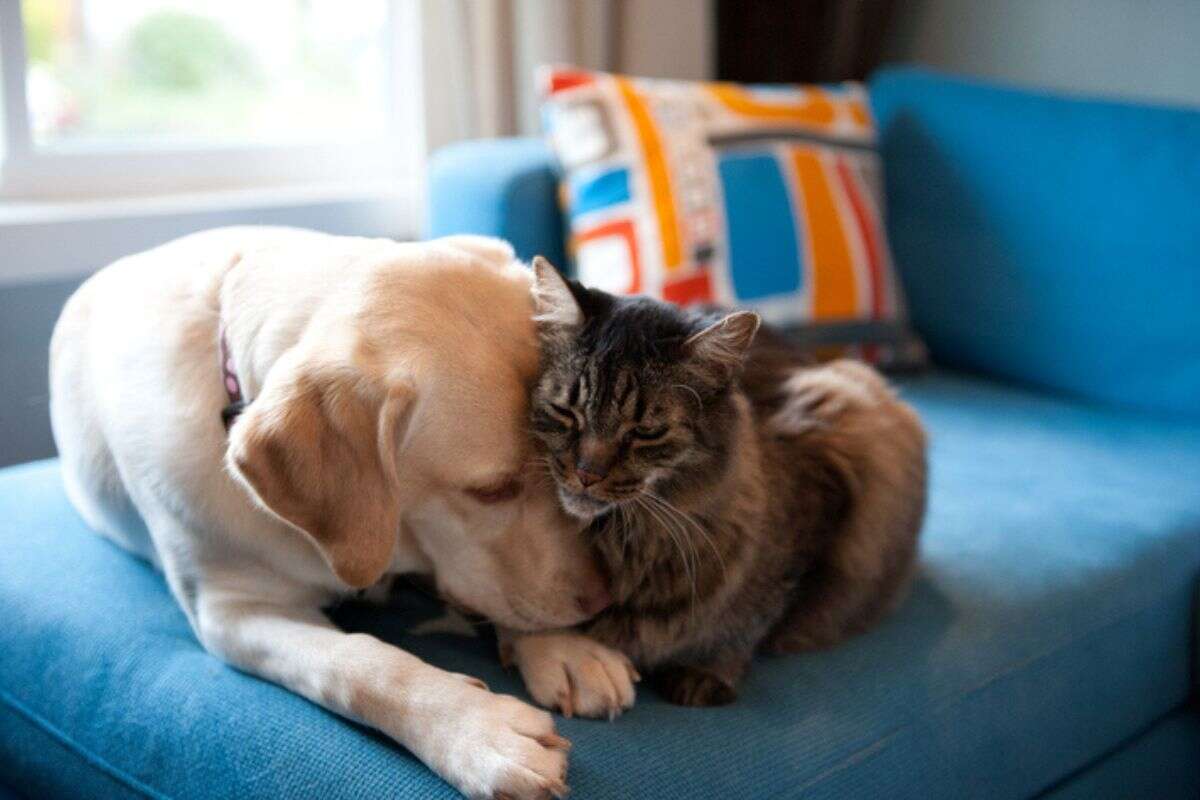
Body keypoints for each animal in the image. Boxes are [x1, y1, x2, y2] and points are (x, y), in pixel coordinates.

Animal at [49, 226, 609, 800]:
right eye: (492, 490)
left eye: (561, 467)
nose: (602, 600)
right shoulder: (231, 613)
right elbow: (359, 666)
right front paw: (477, 731)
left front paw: (564, 650)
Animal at [506, 261, 926, 714]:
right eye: (566, 412)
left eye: (645, 432)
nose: (587, 473)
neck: (628, 542)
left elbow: (752, 617)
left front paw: (707, 670)